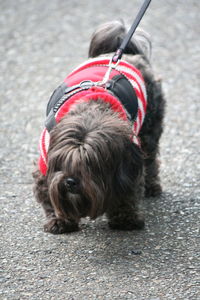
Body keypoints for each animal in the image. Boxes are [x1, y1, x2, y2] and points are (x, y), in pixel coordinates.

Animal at [33, 20, 166, 234]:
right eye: (62, 161)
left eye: (90, 163)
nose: (70, 182)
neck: (89, 115)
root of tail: (123, 52)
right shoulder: (45, 164)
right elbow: (48, 193)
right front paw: (60, 219)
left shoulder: (129, 158)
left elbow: (126, 192)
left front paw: (125, 219)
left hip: (150, 126)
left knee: (151, 158)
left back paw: (152, 186)